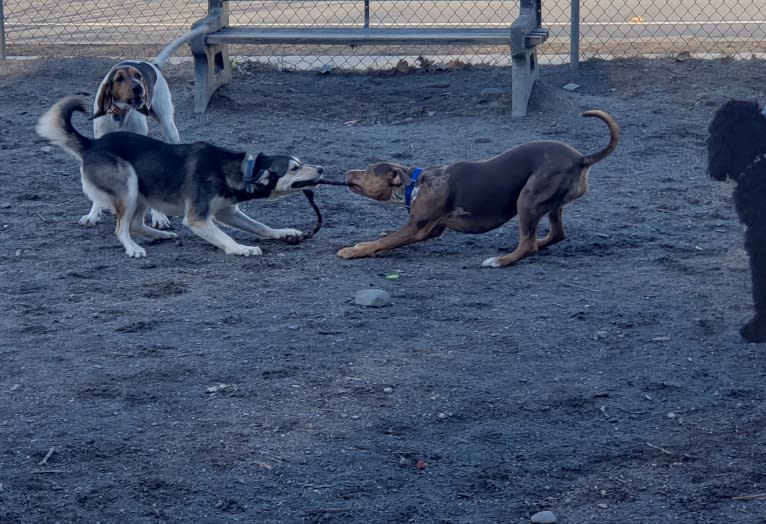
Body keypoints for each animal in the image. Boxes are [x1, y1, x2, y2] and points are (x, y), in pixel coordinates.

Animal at [36, 95, 324, 258]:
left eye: (300, 162)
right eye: (294, 168)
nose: (321, 169)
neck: (243, 169)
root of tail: (92, 144)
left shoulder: (226, 212)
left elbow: (261, 226)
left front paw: (282, 233)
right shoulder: (198, 217)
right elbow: (225, 237)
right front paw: (241, 248)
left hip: (141, 191)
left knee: (135, 224)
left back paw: (160, 236)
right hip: (128, 184)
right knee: (121, 228)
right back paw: (133, 248)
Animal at [340, 110, 620, 266]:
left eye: (367, 170)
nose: (346, 171)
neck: (416, 183)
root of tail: (581, 158)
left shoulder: (417, 229)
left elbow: (383, 240)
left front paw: (353, 251)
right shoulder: (432, 229)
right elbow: (380, 240)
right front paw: (360, 245)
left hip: (527, 198)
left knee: (528, 245)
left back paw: (500, 261)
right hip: (551, 204)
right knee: (554, 235)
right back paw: (537, 243)